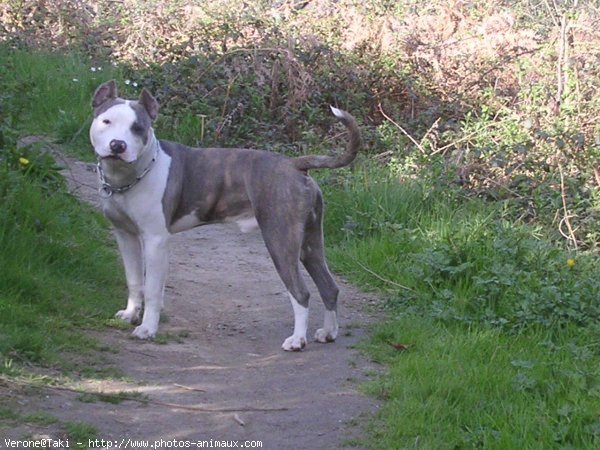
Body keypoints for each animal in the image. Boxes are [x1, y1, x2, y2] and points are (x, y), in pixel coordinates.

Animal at [89, 81, 360, 352]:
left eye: (138, 128)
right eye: (106, 121)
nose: (117, 145)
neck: (133, 174)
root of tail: (295, 164)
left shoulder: (155, 241)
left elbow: (153, 290)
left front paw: (147, 329)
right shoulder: (125, 236)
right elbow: (134, 280)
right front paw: (130, 314)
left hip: (281, 241)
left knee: (301, 292)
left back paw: (297, 340)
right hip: (310, 244)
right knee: (329, 287)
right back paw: (328, 332)